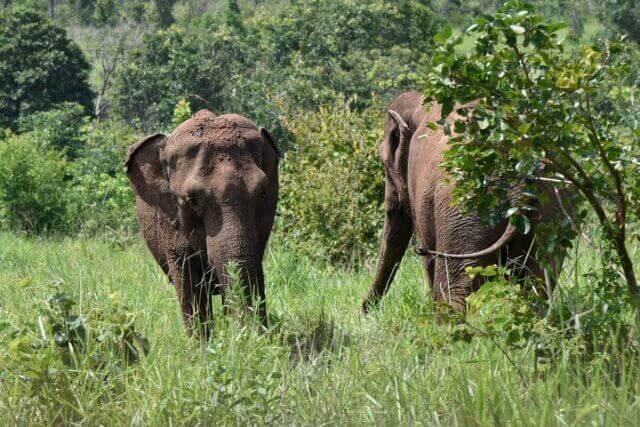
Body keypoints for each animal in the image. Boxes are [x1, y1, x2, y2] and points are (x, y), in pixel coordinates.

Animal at [361, 91, 568, 314]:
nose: (365, 309)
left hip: (466, 208)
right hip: (550, 210)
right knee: (538, 282)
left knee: (456, 288)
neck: (419, 102)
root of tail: (518, 182)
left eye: (384, 163)